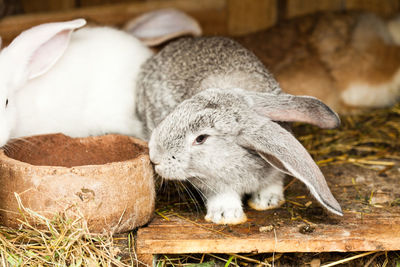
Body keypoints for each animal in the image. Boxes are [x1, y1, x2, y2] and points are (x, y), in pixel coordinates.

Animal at [136, 36, 342, 225]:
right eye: (179, 108)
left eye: (201, 138)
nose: (154, 157)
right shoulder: (212, 184)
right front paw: (225, 216)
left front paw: (267, 201)